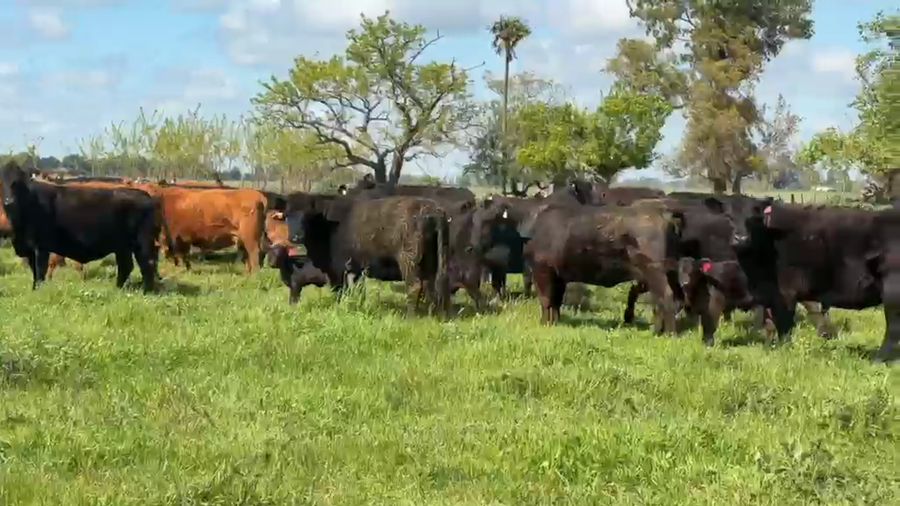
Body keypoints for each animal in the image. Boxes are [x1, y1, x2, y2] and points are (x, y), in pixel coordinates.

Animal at [0, 160, 161, 292]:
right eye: (1, 183)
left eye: (18, 182)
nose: (9, 201)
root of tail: (146, 196)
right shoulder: (29, 250)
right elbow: (35, 272)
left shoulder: (41, 248)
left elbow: (40, 272)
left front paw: (38, 291)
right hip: (123, 246)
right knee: (127, 266)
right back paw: (118, 289)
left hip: (142, 243)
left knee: (147, 264)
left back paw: (147, 291)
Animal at [284, 193, 451, 316]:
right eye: (286, 216)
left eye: (307, 216)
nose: (295, 237)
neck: (327, 223)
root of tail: (432, 209)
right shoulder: (355, 269)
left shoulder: (339, 270)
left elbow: (341, 291)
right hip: (433, 261)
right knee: (432, 286)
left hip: (409, 262)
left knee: (415, 286)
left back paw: (410, 316)